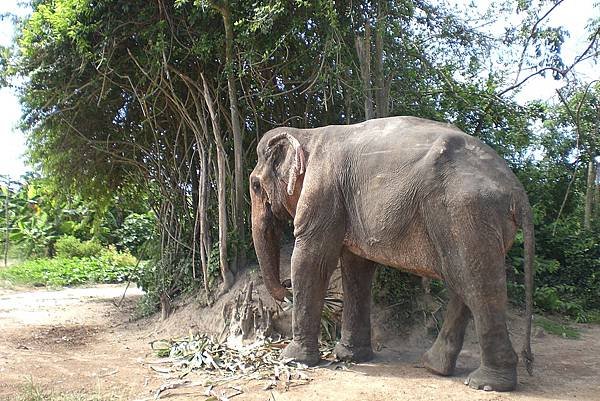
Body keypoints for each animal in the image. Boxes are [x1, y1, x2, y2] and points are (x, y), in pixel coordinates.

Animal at [248, 115, 536, 390]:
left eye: (254, 186)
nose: (285, 286)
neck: (307, 134)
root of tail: (517, 190)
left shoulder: (323, 192)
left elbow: (311, 260)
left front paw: (292, 359)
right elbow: (357, 268)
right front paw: (350, 357)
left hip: (466, 212)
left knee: (476, 285)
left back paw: (485, 383)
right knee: (464, 281)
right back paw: (435, 367)